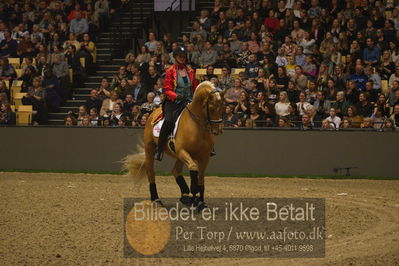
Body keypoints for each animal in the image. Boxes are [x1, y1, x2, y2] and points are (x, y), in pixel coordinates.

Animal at [123, 80, 225, 210]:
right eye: (211, 109)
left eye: (222, 108)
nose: (218, 130)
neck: (197, 126)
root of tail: (153, 111)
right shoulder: (183, 151)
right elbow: (194, 169)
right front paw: (194, 197)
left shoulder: (205, 157)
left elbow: (201, 178)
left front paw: (201, 202)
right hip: (150, 149)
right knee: (151, 172)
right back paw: (157, 200)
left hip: (178, 156)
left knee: (176, 171)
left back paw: (185, 197)